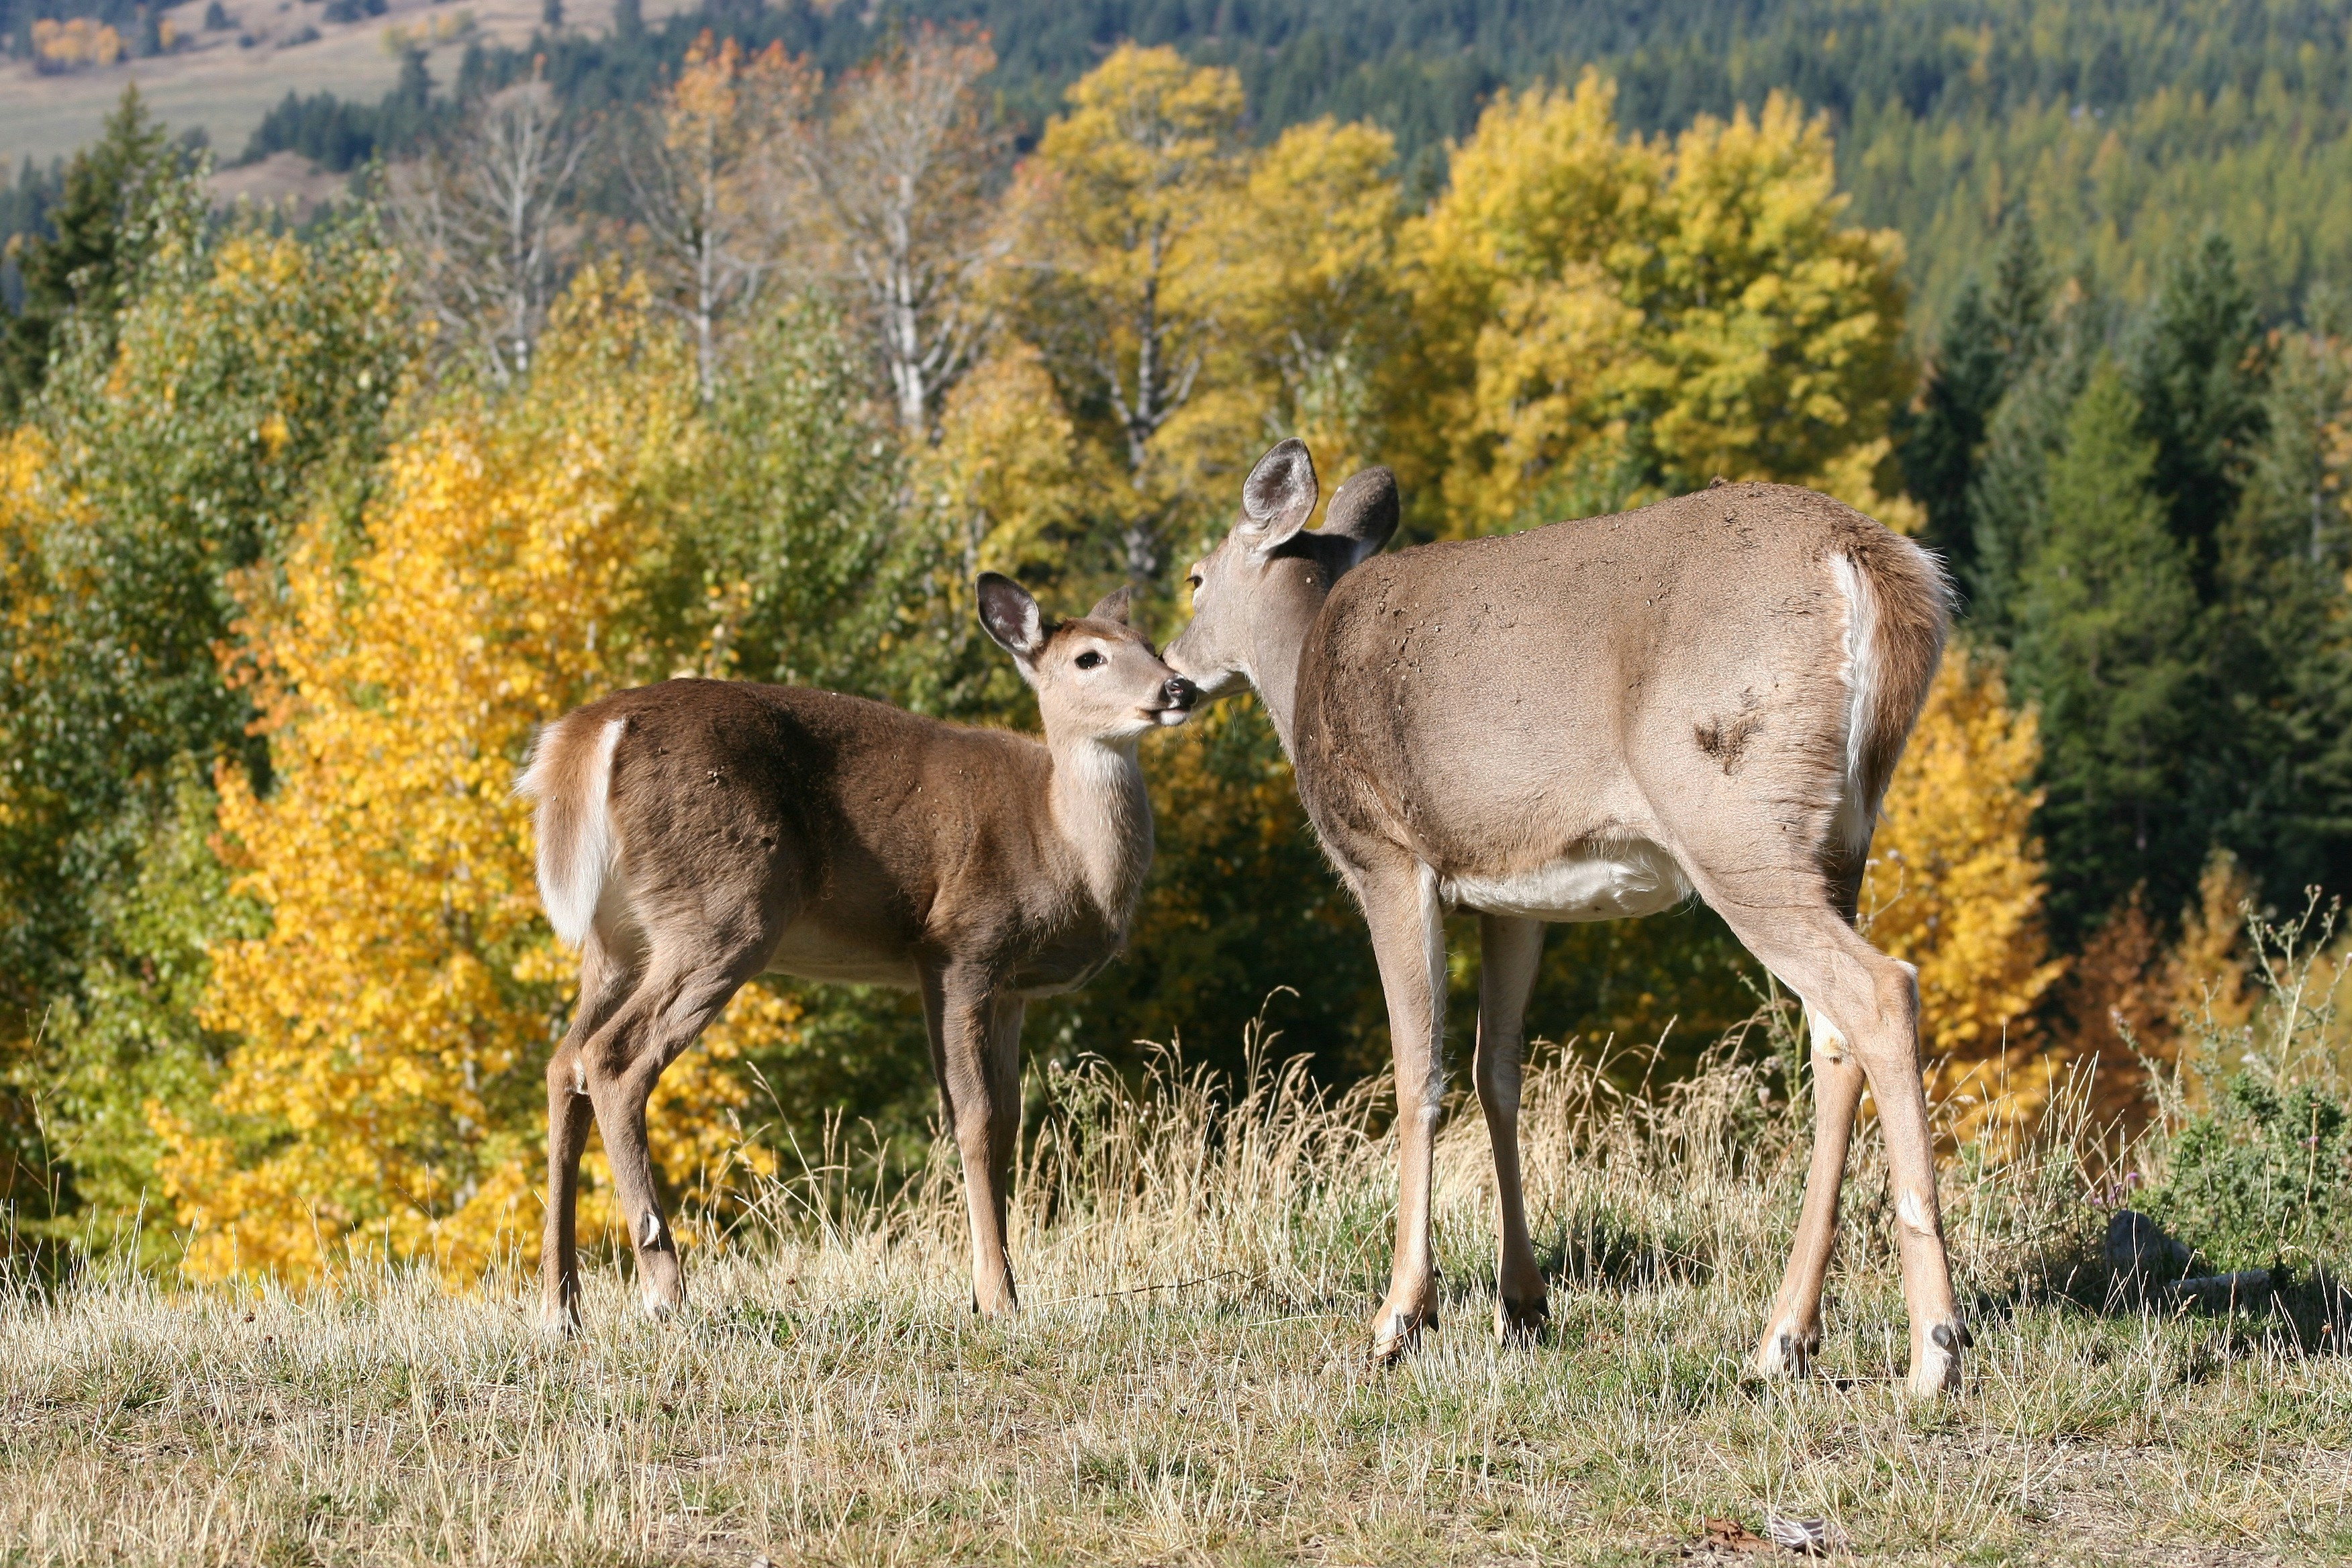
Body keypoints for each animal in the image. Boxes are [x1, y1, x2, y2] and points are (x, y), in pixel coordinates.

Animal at [517, 573, 1197, 1333]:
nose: (1179, 687)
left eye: (1151, 644)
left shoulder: (1012, 987)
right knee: (612, 1057)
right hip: (724, 909)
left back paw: (561, 1306)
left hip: (618, 936)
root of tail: (590, 733)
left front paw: (989, 1287)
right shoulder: (961, 945)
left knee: (564, 1063)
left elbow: (1009, 1118)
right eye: (1089, 658)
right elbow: (974, 1117)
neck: (1062, 840)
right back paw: (664, 1287)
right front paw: (997, 1296)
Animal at [1164, 440, 1967, 1397]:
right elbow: (1496, 1072)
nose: (1171, 676)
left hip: (1731, 810)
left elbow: (1418, 1073)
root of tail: (1873, 563)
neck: (1301, 674)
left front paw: (1400, 1316)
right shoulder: (1511, 892)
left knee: (1882, 990)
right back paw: (1784, 1338)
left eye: (1194, 576)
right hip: (1839, 832)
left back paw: (1934, 1348)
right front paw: (1522, 1303)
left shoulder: (1388, 856)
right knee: (1834, 1032)